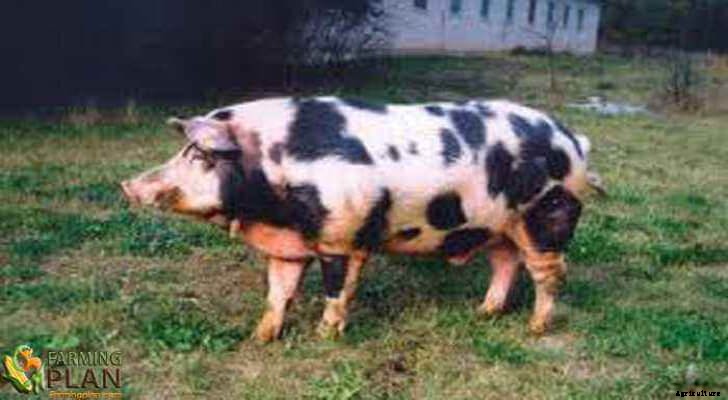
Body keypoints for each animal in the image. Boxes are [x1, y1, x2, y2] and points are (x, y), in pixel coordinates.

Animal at [121, 97, 600, 342]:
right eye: (186, 151)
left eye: (199, 155)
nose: (128, 184)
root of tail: (573, 139)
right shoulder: (289, 245)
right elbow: (278, 292)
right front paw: (260, 337)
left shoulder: (342, 237)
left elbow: (337, 288)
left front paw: (325, 337)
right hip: (497, 227)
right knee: (505, 263)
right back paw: (483, 314)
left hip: (548, 217)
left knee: (550, 273)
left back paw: (536, 328)